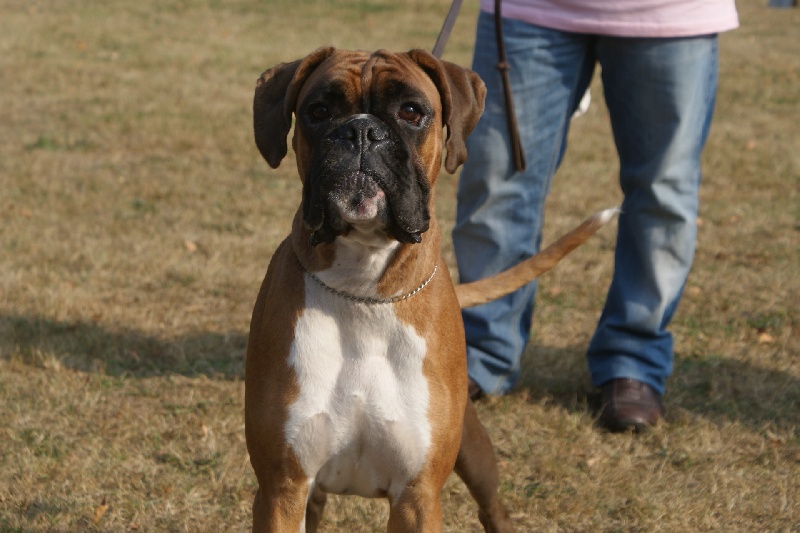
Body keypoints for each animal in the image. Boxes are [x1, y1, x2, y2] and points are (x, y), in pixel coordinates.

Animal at [247, 47, 616, 528]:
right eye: (318, 111)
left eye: (411, 112)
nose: (361, 131)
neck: (364, 289)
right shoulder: (282, 489)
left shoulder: (417, 496)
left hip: (475, 453)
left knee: (493, 507)